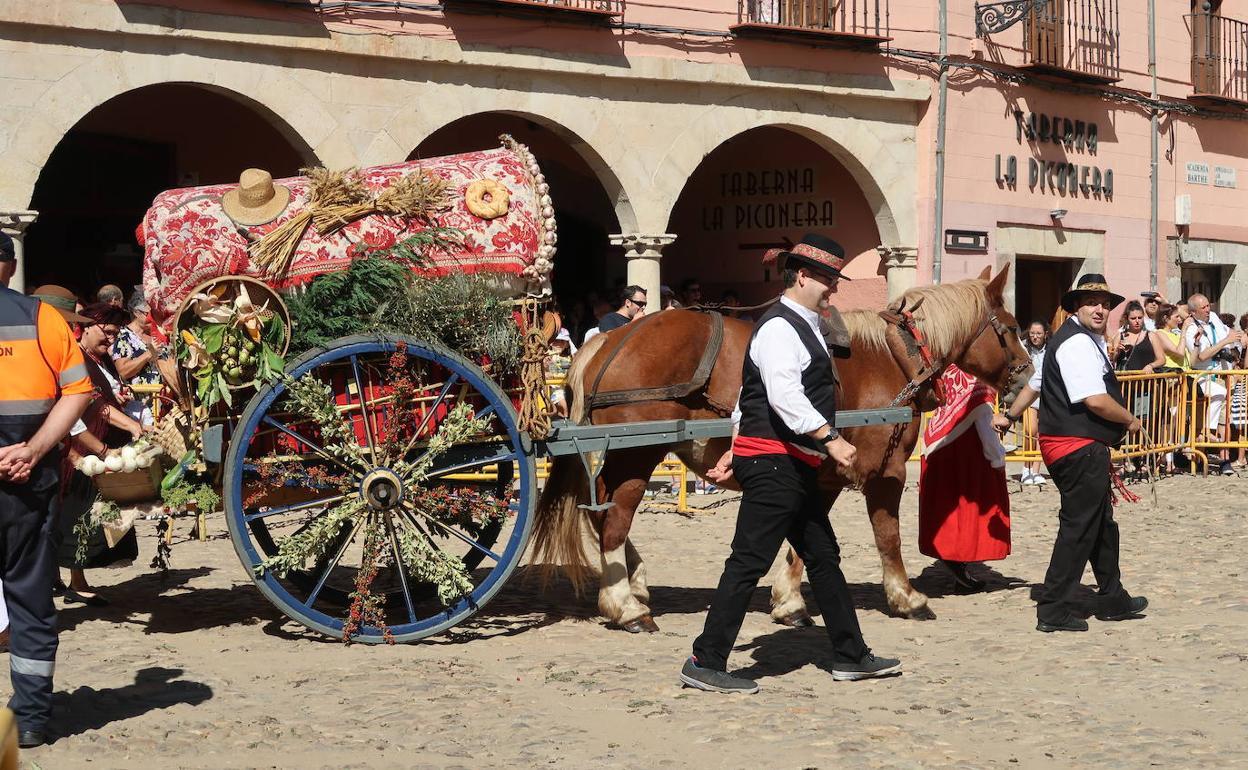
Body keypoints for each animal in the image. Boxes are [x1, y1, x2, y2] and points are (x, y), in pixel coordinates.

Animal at [531, 264, 1028, 631]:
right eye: (1010, 327)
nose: (1025, 374)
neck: (892, 355)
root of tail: (612, 340)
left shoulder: (825, 472)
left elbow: (802, 538)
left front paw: (788, 601)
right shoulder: (885, 472)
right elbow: (888, 536)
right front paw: (906, 596)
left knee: (602, 519)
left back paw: (632, 585)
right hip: (636, 454)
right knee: (613, 522)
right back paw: (625, 605)